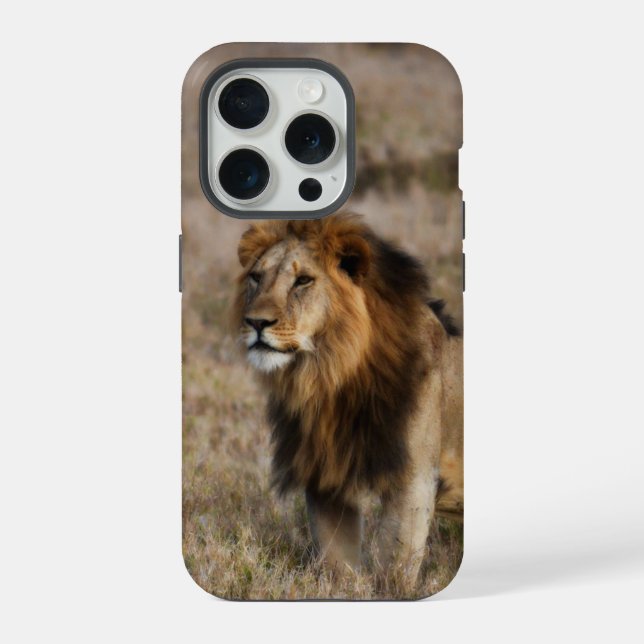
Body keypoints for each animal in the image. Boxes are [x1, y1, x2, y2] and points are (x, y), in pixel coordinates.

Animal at [233, 212, 463, 587]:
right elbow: (336, 561)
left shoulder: (413, 477)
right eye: (256, 277)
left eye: (303, 280)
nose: (255, 322)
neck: (330, 376)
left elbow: (395, 563)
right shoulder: (325, 475)